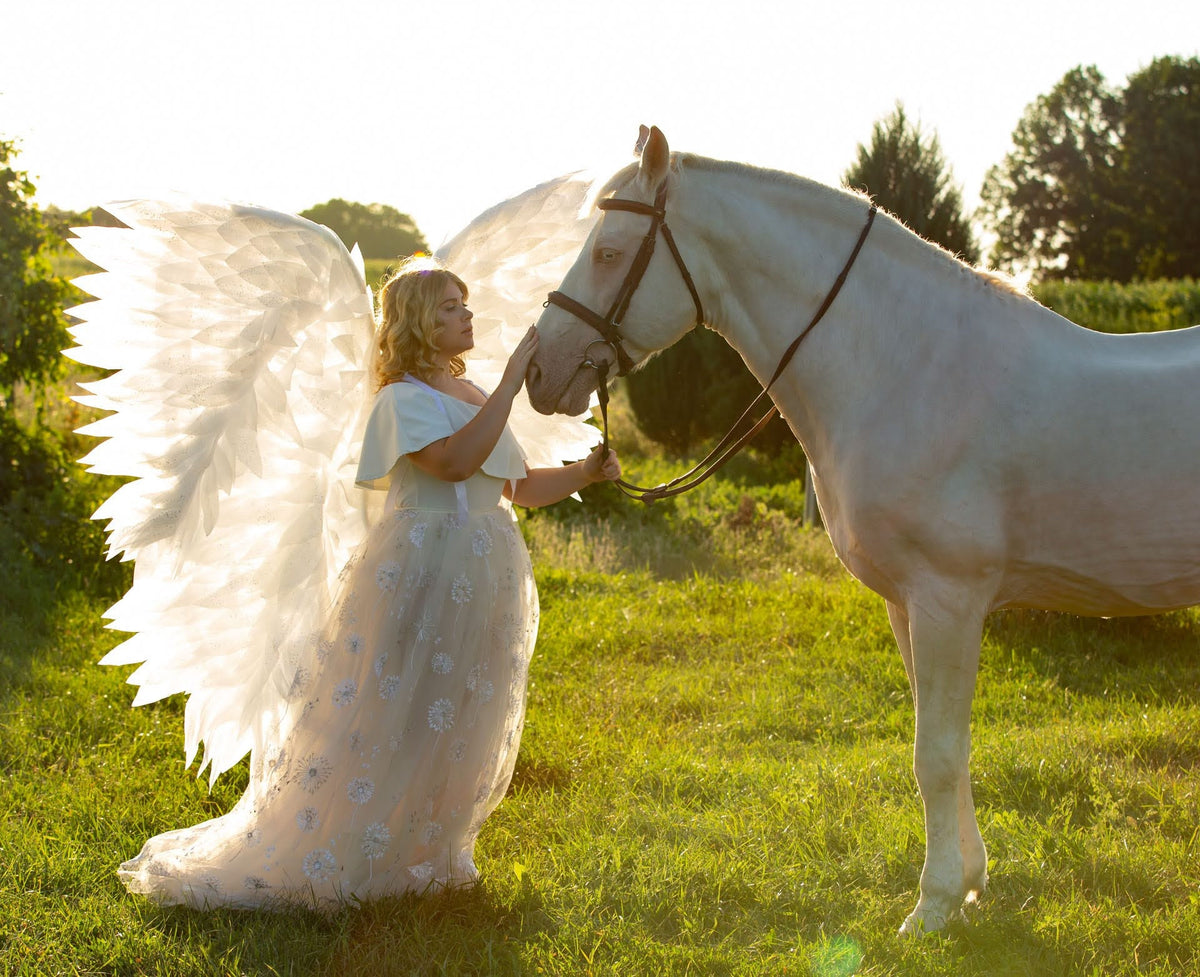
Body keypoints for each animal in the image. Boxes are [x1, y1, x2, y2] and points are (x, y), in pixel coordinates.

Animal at [524, 126, 1200, 935]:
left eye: (609, 252)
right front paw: (968, 884)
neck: (907, 367)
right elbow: (949, 747)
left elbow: (934, 753)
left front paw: (932, 906)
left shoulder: (948, 599)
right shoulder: (910, 605)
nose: (538, 369)